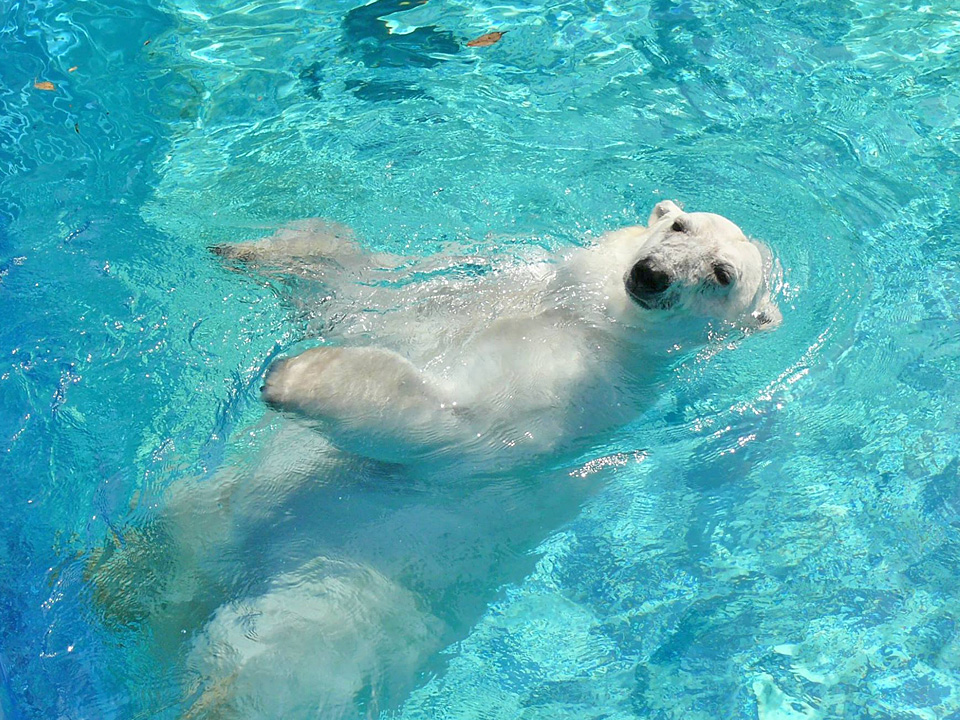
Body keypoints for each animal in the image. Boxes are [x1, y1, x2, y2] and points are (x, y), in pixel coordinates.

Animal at [90, 200, 780, 716]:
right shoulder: (473, 294)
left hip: (341, 589)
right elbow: (360, 293)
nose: (653, 274)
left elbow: (455, 427)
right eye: (678, 226)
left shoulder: (573, 396)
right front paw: (262, 250)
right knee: (170, 543)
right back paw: (116, 577)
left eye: (722, 275)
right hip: (206, 510)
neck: (586, 319)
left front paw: (295, 375)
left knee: (273, 662)